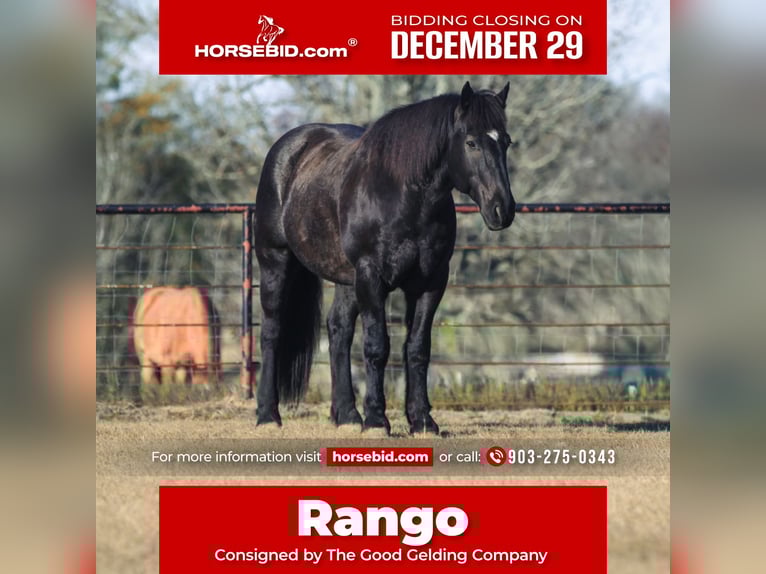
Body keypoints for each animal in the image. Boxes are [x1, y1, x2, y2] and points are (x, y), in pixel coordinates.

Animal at [253, 82, 515, 434]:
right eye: (471, 142)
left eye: (506, 141)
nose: (503, 209)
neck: (403, 195)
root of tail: (288, 148)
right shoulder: (371, 276)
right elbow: (377, 346)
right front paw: (377, 420)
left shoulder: (431, 281)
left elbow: (417, 348)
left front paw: (422, 420)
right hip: (275, 261)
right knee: (272, 331)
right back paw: (268, 415)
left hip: (346, 279)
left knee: (338, 331)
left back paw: (347, 415)